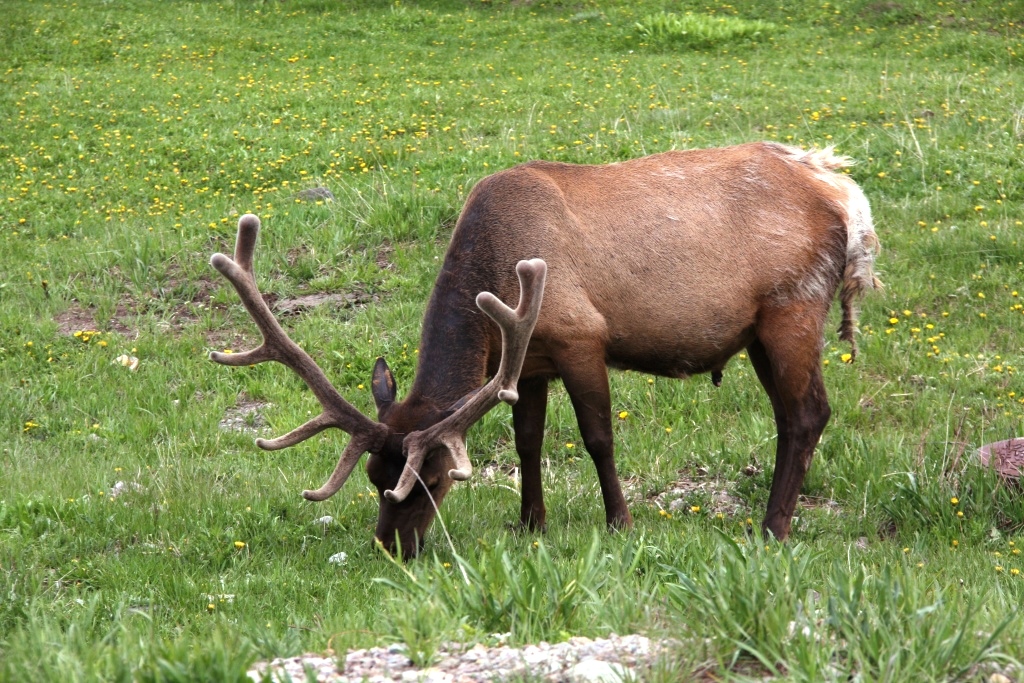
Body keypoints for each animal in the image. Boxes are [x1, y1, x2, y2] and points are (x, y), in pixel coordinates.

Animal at [209, 141, 880, 557]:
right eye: (375, 478)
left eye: (432, 478)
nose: (392, 547)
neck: (500, 271)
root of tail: (848, 196)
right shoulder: (528, 363)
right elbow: (527, 439)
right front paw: (531, 523)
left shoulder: (581, 335)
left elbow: (597, 437)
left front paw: (620, 522)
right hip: (766, 327)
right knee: (795, 415)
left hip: (793, 305)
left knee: (808, 413)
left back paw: (772, 528)